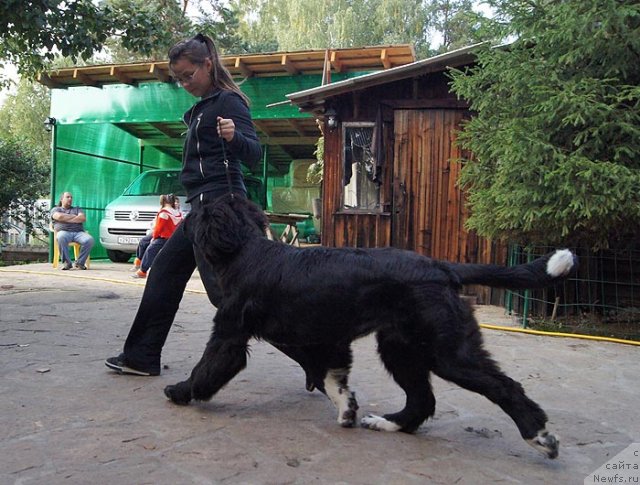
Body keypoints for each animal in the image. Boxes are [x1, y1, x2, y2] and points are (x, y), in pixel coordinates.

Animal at [165, 194, 576, 458]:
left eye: (198, 211)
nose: (184, 211)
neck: (247, 251)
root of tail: (442, 267)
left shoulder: (230, 333)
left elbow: (207, 368)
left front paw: (180, 391)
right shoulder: (326, 340)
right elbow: (332, 377)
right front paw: (347, 410)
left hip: (447, 352)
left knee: (505, 387)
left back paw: (541, 437)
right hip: (400, 348)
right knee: (422, 400)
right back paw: (386, 423)